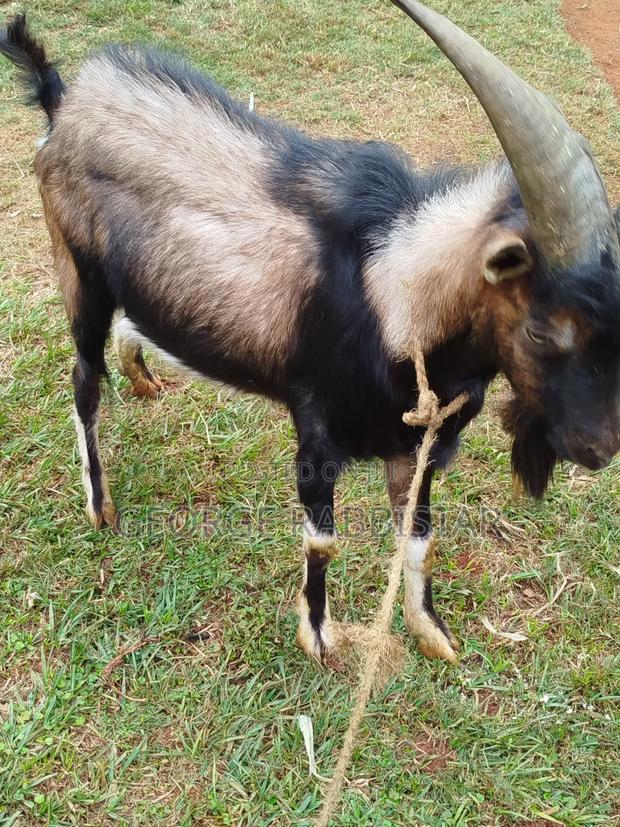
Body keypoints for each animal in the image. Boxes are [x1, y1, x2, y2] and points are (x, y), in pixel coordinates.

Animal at [2, 2, 619, 666]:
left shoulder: (418, 446)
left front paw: (431, 631)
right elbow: (322, 539)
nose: (599, 449)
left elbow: (418, 535)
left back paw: (142, 375)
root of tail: (63, 100)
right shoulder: (317, 429)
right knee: (84, 380)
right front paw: (319, 636)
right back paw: (101, 506)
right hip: (80, 273)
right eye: (541, 330)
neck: (391, 296)